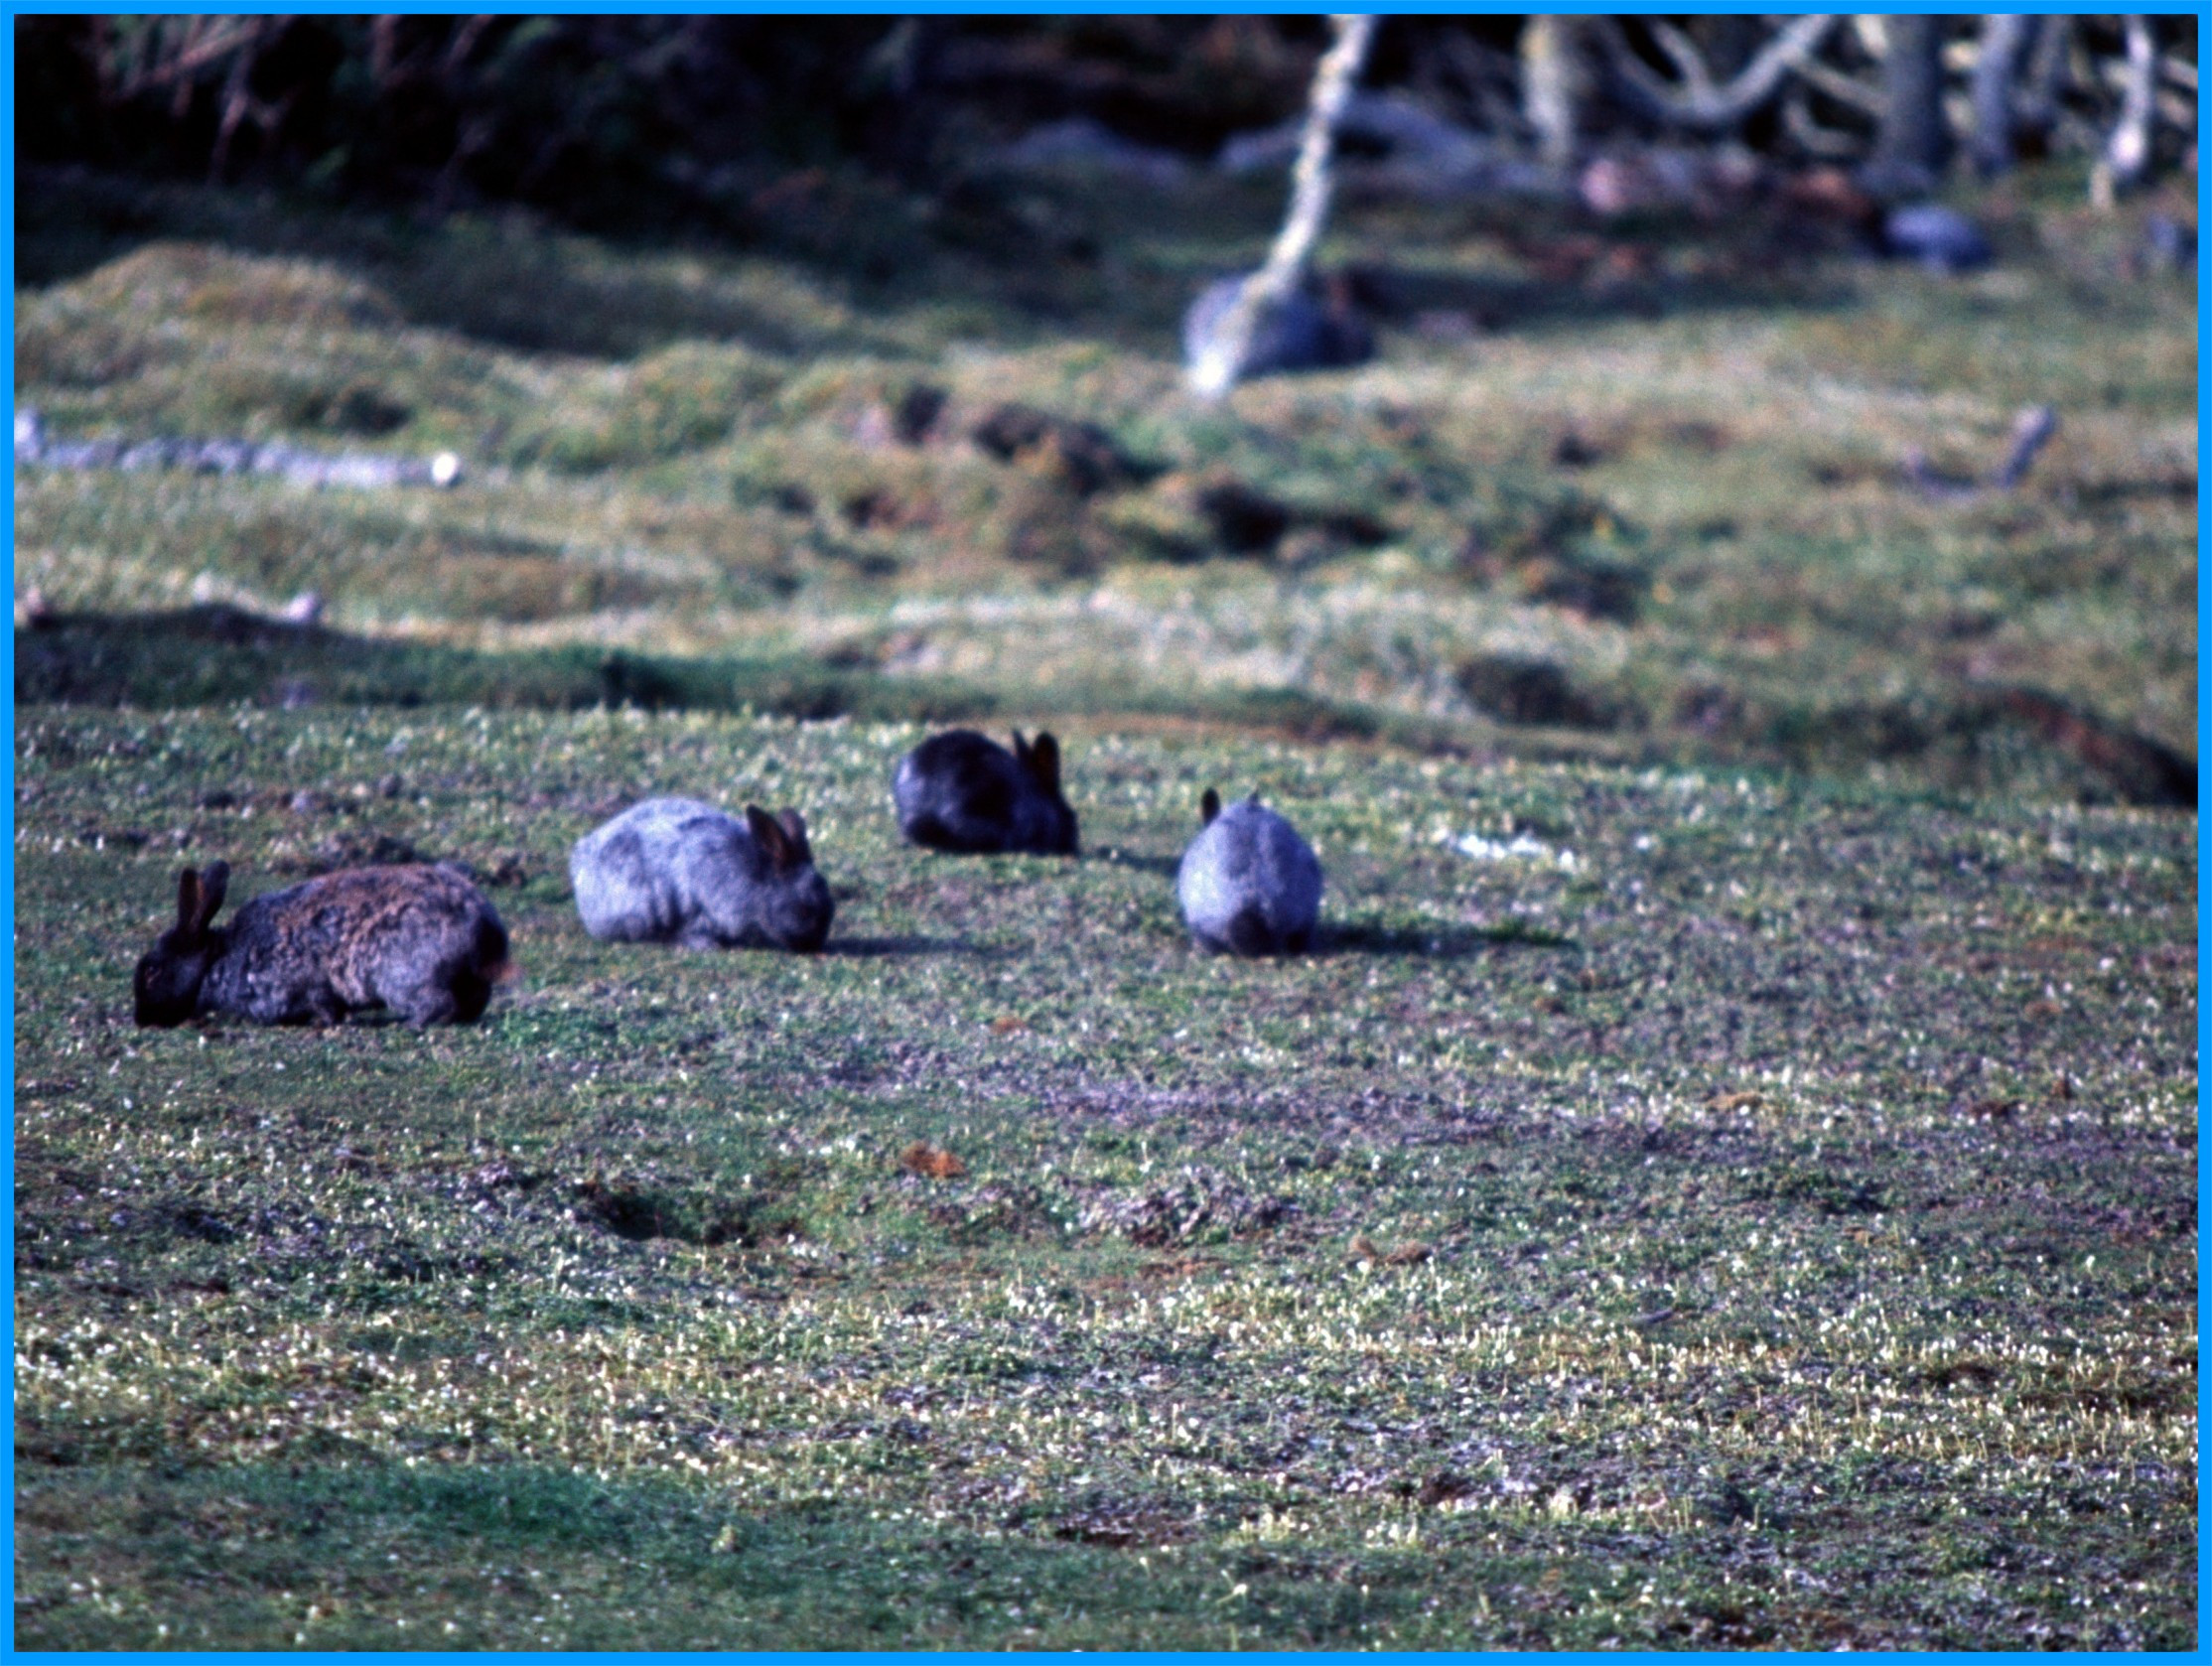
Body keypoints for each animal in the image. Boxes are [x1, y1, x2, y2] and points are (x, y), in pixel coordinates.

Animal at [133, 861, 510, 1027]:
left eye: (152, 971)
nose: (140, 1019)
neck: (215, 960)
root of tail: (485, 931)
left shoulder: (293, 984)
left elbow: (322, 1004)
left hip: (404, 977)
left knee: (438, 1004)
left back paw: (410, 1024)